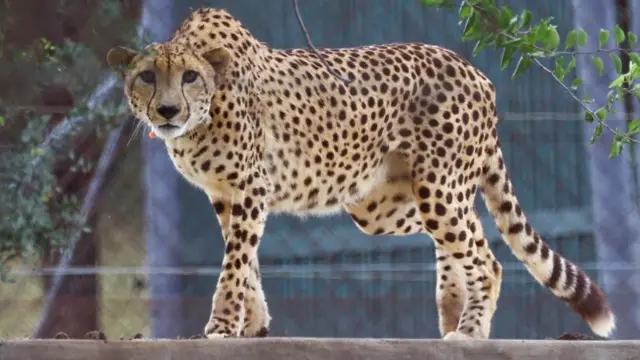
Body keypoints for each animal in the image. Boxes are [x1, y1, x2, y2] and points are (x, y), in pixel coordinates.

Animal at [106, 8, 616, 340]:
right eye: (146, 77)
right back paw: (452, 310)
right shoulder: (225, 194)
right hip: (387, 204)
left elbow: (234, 263)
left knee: (485, 256)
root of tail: (475, 71)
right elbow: (245, 261)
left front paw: (220, 326)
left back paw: (469, 331)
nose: (167, 110)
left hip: (435, 188)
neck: (201, 116)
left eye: (190, 77)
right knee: (468, 228)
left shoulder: (251, 186)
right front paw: (254, 324)